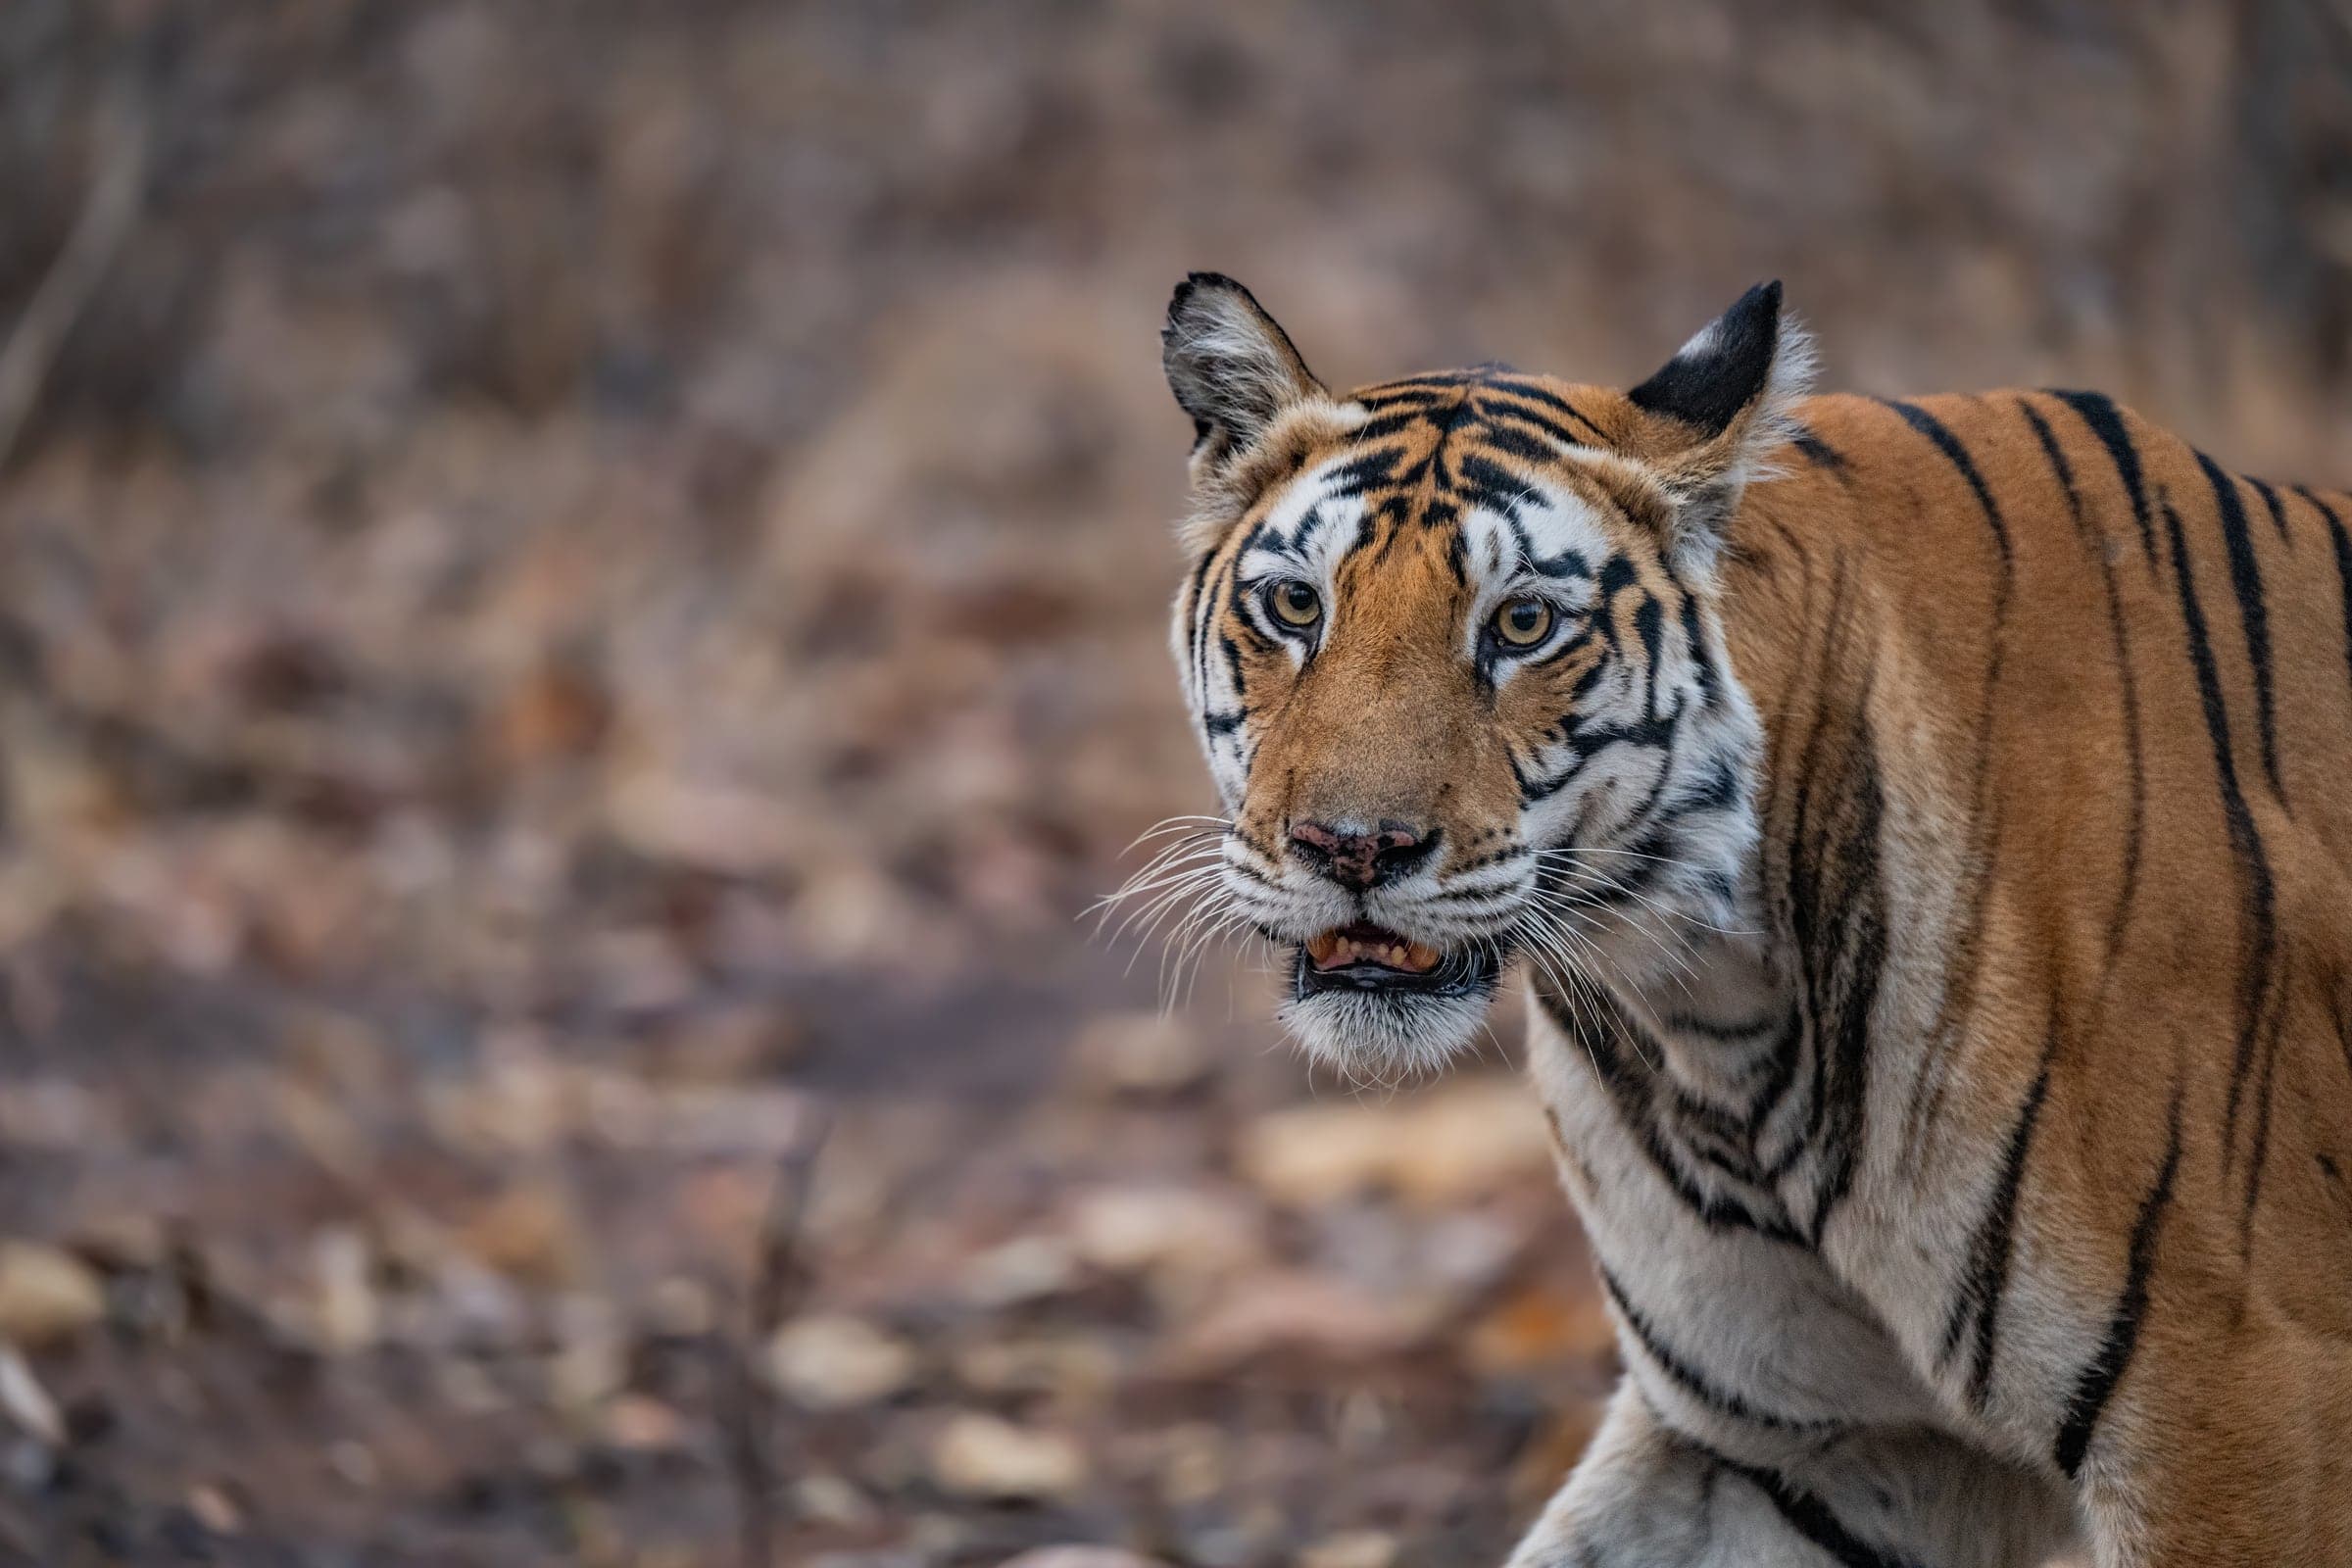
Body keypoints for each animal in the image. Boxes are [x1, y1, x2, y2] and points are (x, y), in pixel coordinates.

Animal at [1147, 271, 2352, 1565]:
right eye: (1293, 605)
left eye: (1522, 625)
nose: (1353, 847)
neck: (1708, 1011)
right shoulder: (1806, 1441)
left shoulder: (2236, 1405)